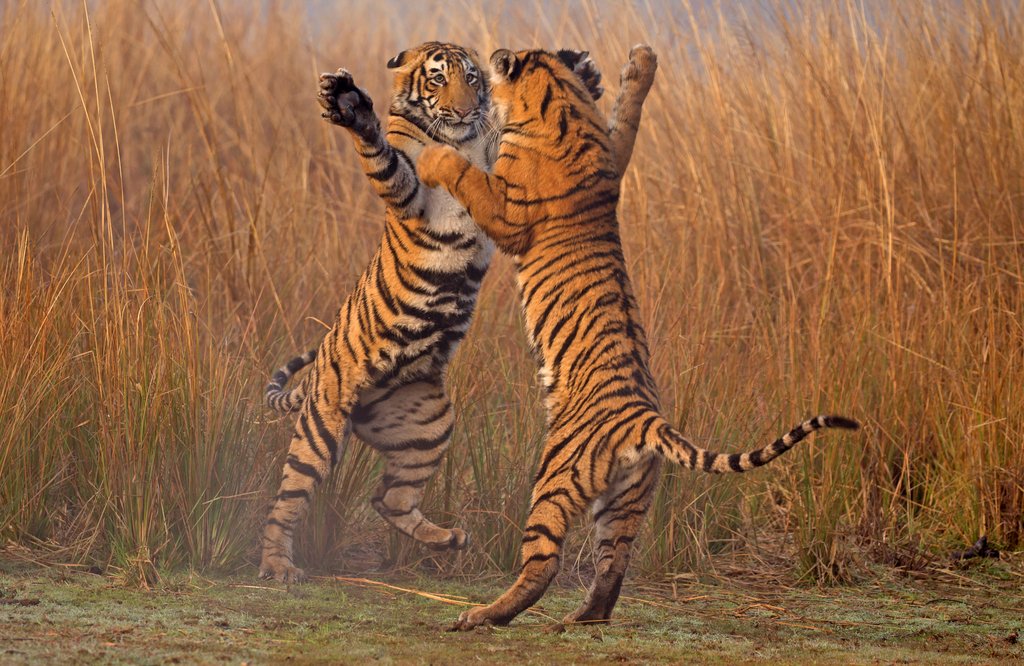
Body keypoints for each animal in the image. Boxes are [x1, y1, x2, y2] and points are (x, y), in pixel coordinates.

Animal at [257, 42, 658, 583]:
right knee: (286, 501)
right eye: (437, 80)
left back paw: (449, 539)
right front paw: (350, 105)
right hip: (322, 425)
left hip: (429, 426)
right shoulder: (414, 194)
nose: (467, 112)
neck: (461, 140)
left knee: (389, 499)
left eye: (471, 78)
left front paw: (585, 74)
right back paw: (277, 565)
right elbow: (386, 159)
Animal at [416, 45, 860, 629]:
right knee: (613, 568)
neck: (561, 106)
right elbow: (628, 115)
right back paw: (581, 619)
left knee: (544, 562)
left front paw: (431, 158)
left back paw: (482, 615)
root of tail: (644, 420)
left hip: (554, 477)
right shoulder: (615, 154)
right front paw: (639, 63)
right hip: (625, 501)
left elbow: (467, 173)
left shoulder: (507, 210)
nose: (491, 59)